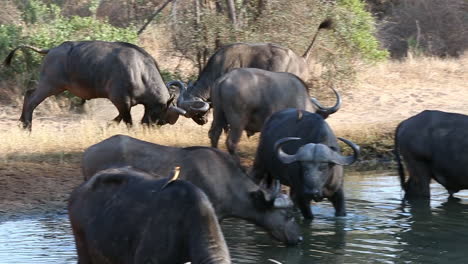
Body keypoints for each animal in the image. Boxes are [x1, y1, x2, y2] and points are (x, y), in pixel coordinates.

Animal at [4, 40, 186, 130]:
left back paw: (22, 122)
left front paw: (107, 126)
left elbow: (120, 117)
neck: (140, 72)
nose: (149, 128)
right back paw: (27, 126)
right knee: (32, 100)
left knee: (28, 92)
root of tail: (52, 49)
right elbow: (127, 120)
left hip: (51, 85)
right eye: (162, 118)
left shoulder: (124, 103)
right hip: (50, 85)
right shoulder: (120, 100)